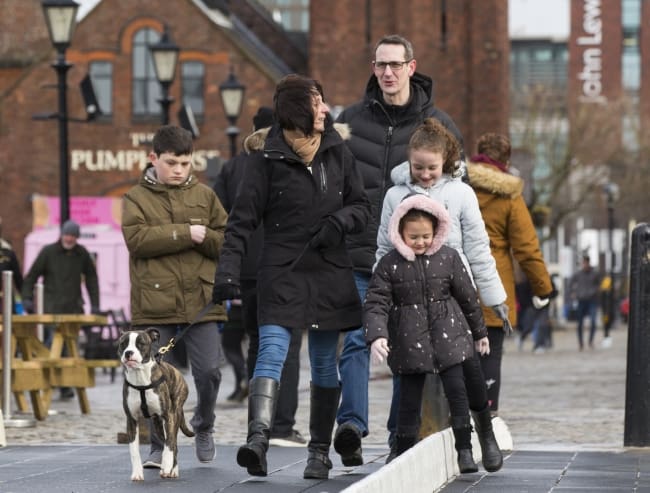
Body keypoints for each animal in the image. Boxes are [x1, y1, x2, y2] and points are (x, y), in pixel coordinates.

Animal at [117, 328, 194, 478]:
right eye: (123, 344)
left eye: (140, 343)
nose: (128, 353)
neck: (140, 378)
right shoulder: (131, 420)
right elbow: (134, 451)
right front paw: (137, 473)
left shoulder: (168, 416)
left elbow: (169, 444)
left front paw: (167, 466)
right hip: (158, 424)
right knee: (166, 441)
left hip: (175, 413)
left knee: (173, 443)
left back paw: (172, 469)